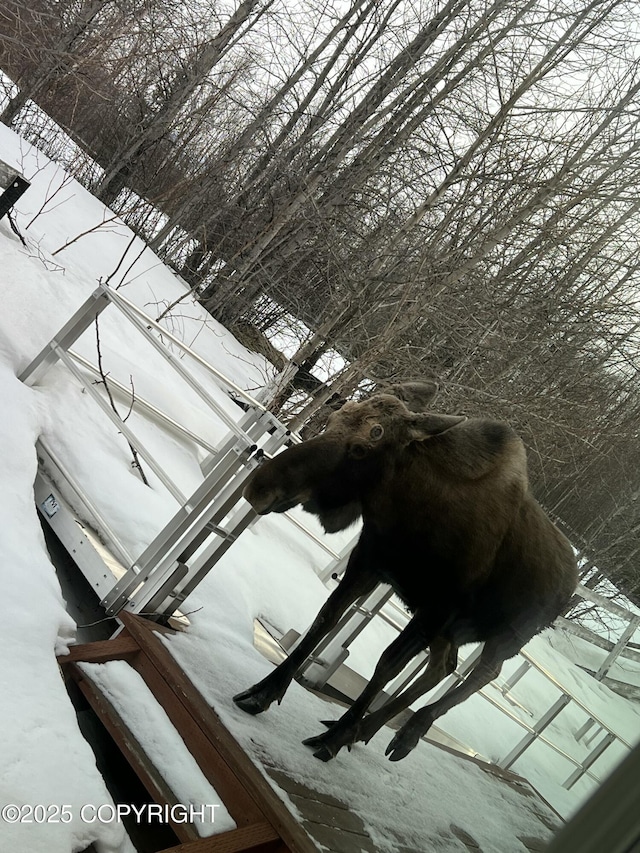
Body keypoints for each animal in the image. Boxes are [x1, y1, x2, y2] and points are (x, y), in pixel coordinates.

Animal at [232, 390, 576, 764]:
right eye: (333, 420)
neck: (406, 515)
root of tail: (571, 586)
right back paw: (368, 730)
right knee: (443, 666)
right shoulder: (367, 565)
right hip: (453, 633)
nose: (260, 488)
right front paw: (263, 692)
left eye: (365, 445)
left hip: (506, 640)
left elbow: (387, 664)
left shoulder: (436, 609)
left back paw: (405, 733)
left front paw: (334, 739)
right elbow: (323, 620)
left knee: (480, 675)